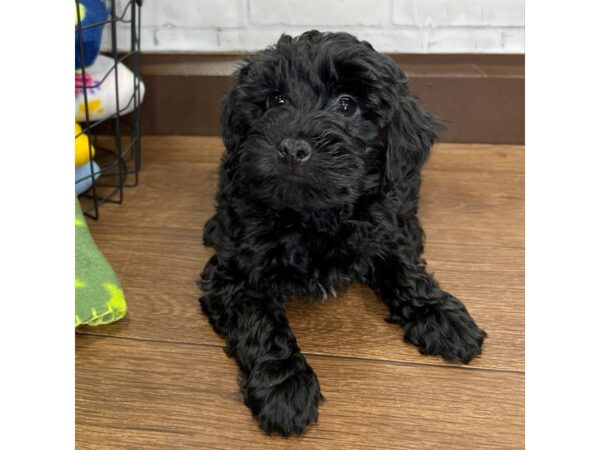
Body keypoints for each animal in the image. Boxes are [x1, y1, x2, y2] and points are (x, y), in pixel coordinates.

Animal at [199, 30, 486, 436]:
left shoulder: (382, 230)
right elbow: (261, 322)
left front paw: (442, 316)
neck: (312, 215)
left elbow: (404, 270)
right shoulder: (234, 273)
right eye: (275, 100)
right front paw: (285, 388)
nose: (292, 148)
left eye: (347, 105)